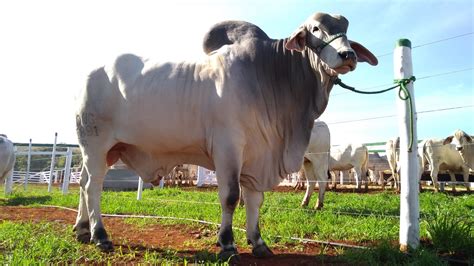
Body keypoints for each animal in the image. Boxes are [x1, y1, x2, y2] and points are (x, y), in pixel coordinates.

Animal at [75, 11, 378, 258]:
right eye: (315, 29)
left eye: (346, 30)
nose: (348, 55)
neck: (270, 76)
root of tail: (90, 75)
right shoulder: (228, 148)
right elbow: (231, 196)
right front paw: (227, 243)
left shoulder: (258, 154)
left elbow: (255, 200)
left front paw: (258, 242)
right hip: (96, 144)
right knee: (93, 187)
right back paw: (100, 235)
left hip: (102, 151)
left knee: (83, 182)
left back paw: (82, 229)